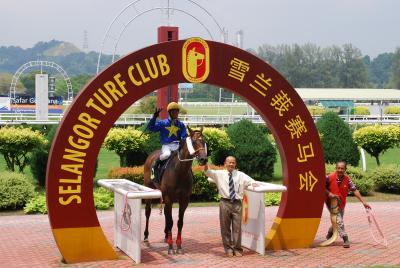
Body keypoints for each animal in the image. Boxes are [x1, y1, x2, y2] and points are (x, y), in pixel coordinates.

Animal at [143, 126, 206, 254]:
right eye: (194, 142)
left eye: (204, 141)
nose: (204, 159)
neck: (179, 172)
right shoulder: (168, 198)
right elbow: (171, 221)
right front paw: (171, 247)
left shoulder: (184, 200)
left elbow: (179, 222)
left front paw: (179, 246)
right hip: (150, 190)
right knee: (148, 212)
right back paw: (146, 237)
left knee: (166, 215)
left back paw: (166, 236)